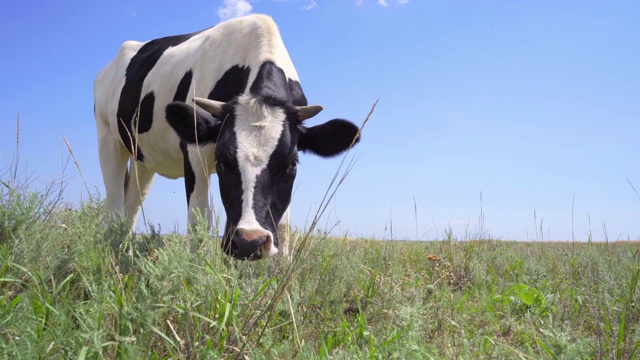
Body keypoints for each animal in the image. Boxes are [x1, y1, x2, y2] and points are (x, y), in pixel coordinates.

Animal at [93, 14, 360, 260]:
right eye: (221, 162)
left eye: (292, 164)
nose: (250, 242)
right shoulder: (195, 151)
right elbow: (200, 220)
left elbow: (283, 229)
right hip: (108, 138)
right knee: (114, 206)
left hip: (144, 158)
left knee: (131, 207)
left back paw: (124, 257)